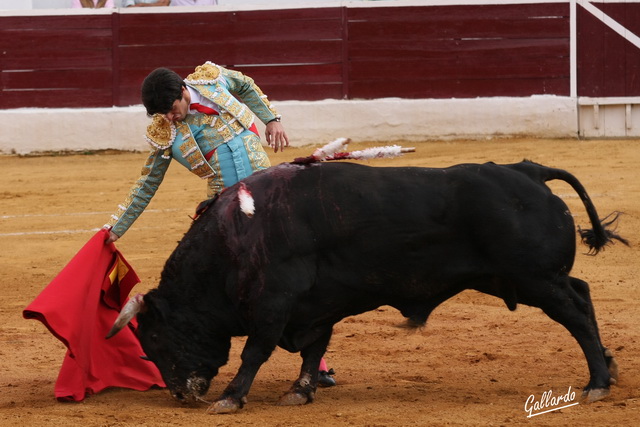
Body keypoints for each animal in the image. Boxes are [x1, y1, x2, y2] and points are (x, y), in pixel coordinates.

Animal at [109, 159, 624, 412]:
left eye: (154, 339)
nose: (181, 394)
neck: (236, 236)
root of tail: (527, 171)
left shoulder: (275, 303)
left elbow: (255, 351)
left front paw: (231, 398)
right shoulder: (314, 307)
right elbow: (314, 349)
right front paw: (301, 391)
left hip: (535, 279)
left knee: (576, 314)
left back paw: (597, 383)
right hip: (519, 279)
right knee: (583, 293)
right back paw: (609, 369)